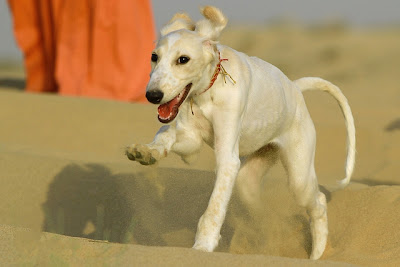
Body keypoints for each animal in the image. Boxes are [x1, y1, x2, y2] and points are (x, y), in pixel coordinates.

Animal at [126, 6, 354, 262]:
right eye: (154, 57)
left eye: (183, 59)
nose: (152, 95)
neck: (209, 89)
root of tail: (295, 87)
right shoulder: (191, 141)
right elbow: (165, 134)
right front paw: (147, 151)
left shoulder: (228, 158)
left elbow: (214, 207)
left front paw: (203, 246)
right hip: (249, 178)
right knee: (261, 211)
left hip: (299, 176)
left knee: (319, 203)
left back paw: (317, 254)